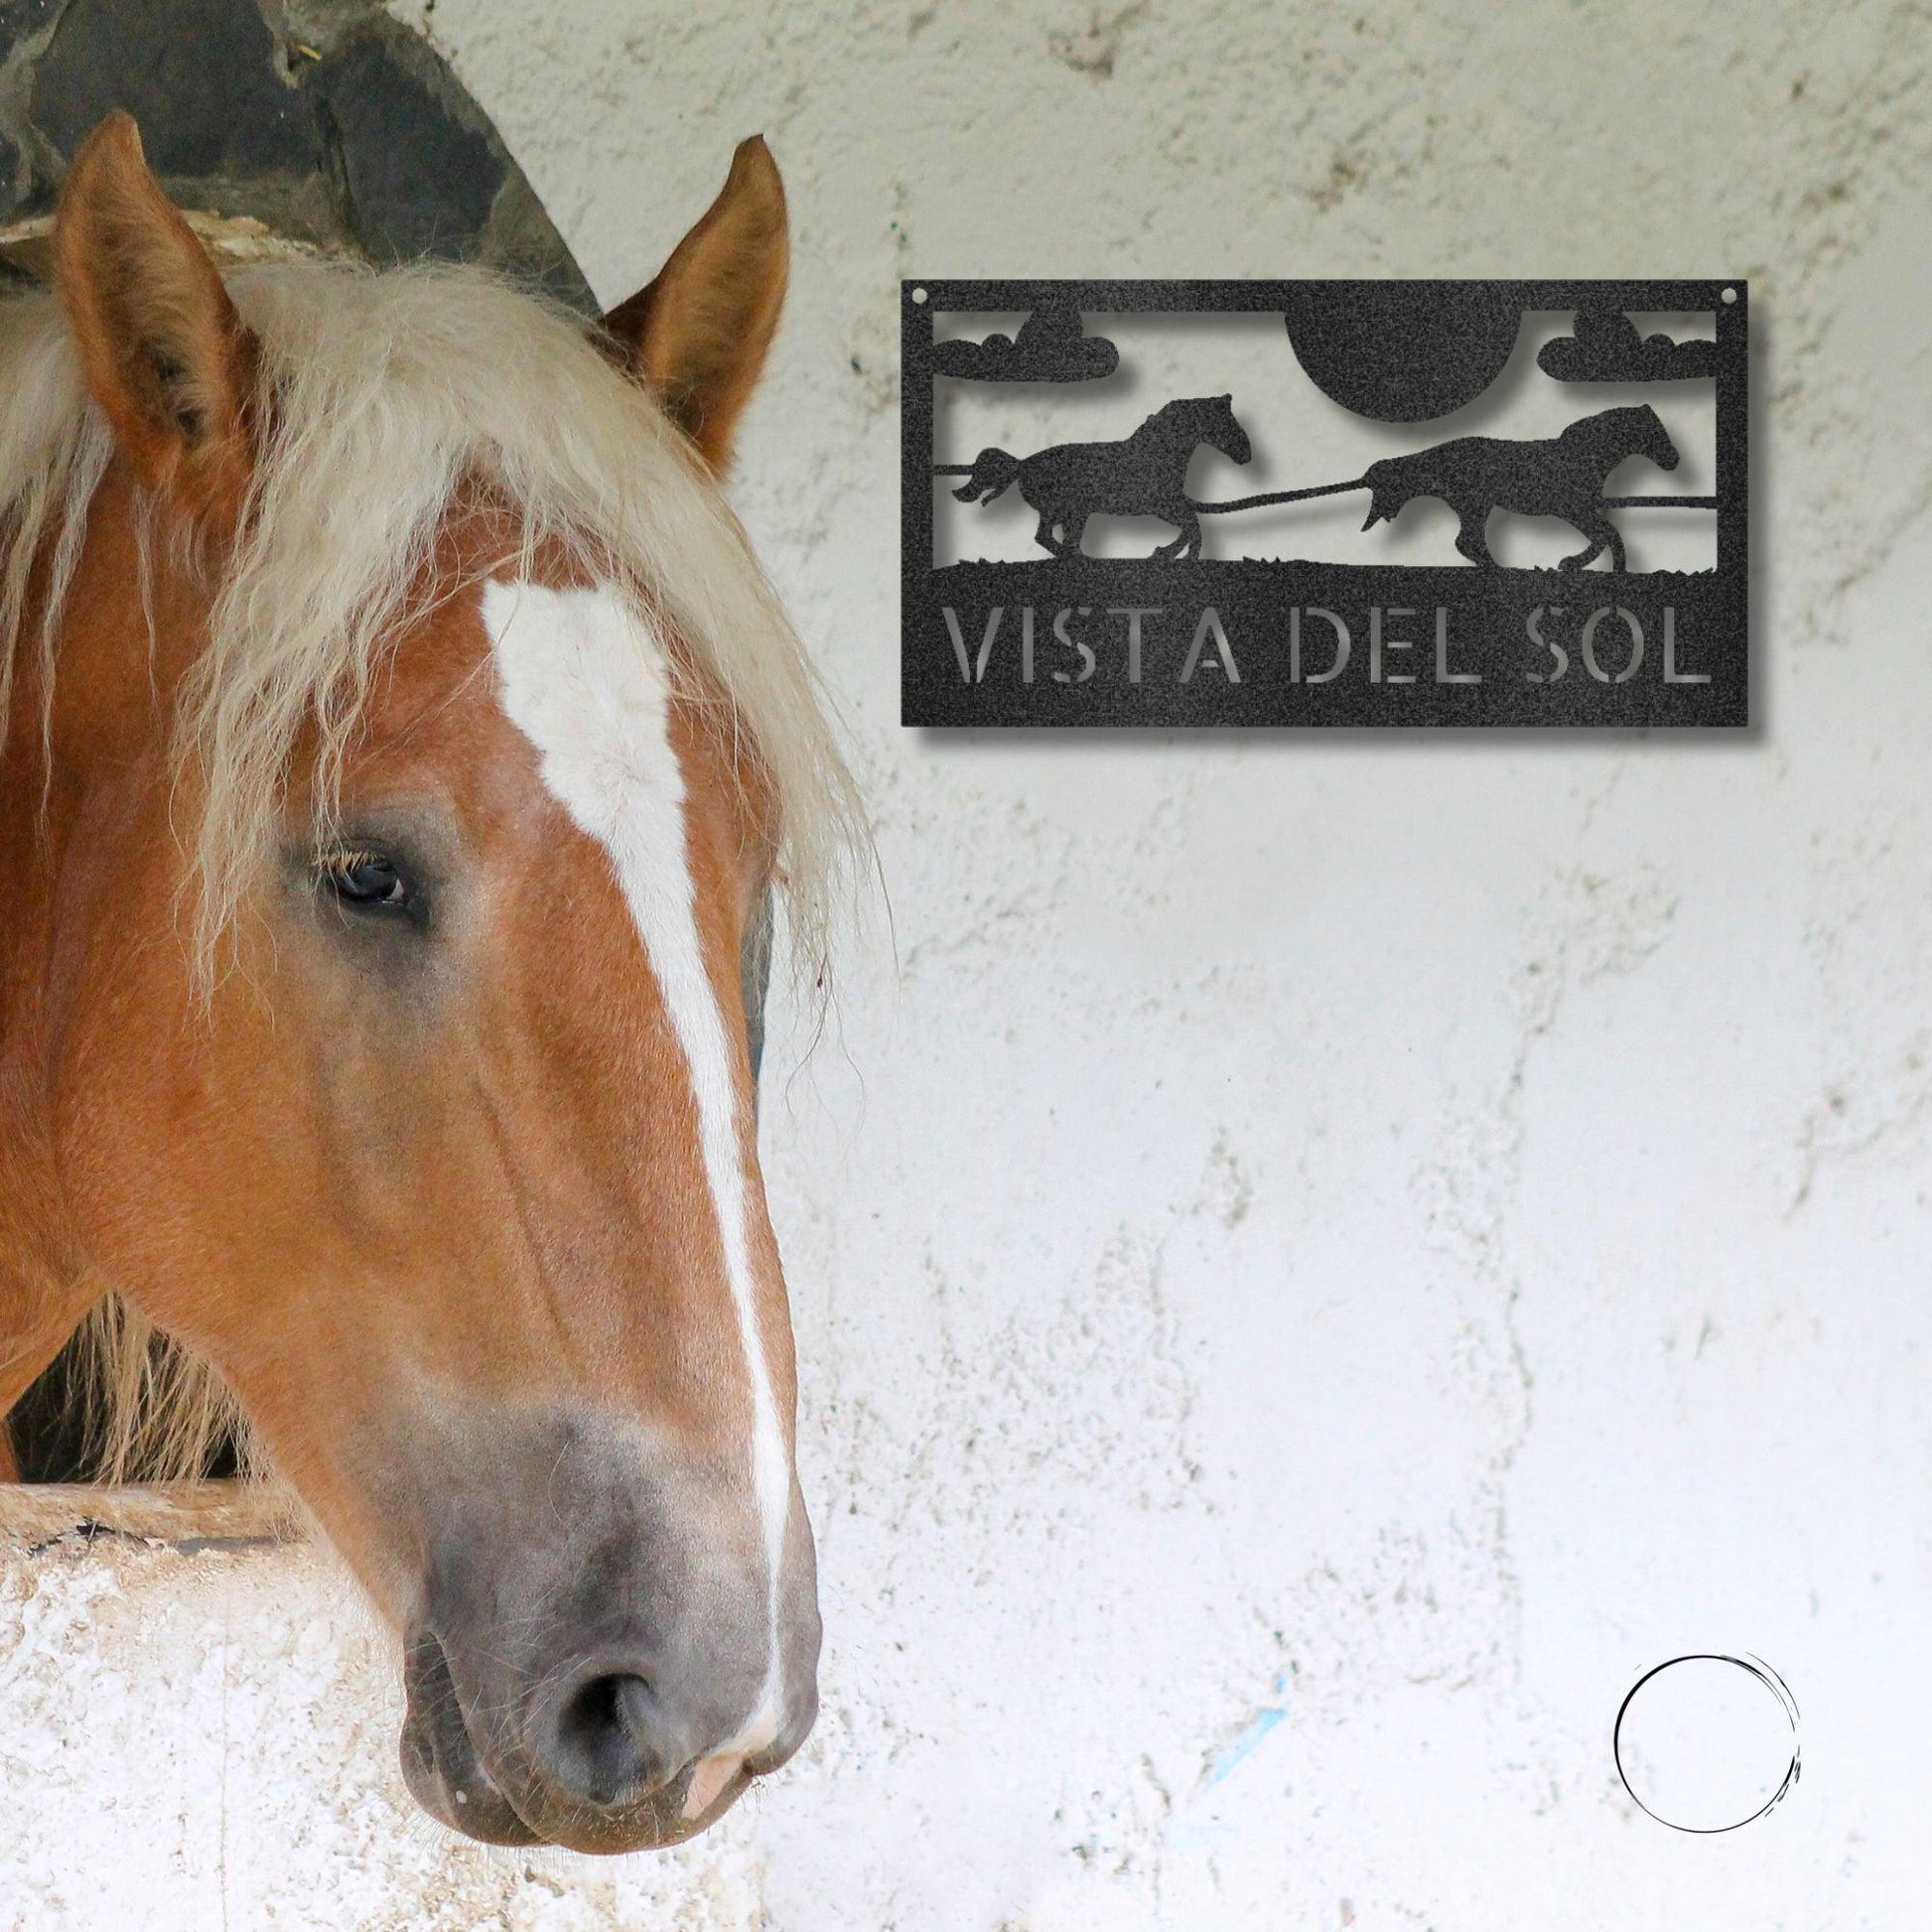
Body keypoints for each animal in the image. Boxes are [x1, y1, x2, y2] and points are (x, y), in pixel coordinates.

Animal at [951, 394, 1253, 560]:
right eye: (1228, 422)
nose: (1247, 454)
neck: (1158, 452)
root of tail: (1022, 464)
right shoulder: (1160, 506)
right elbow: (1193, 524)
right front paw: (1168, 554)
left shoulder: (1170, 505)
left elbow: (1193, 524)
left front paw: (1173, 555)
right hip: (1068, 512)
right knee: (1046, 538)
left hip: (1072, 515)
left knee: (1055, 539)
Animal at [1358, 402, 1681, 571]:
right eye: (1657, 432)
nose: (1675, 459)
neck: (1589, 453)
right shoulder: (1573, 511)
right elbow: (1606, 534)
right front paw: (1570, 563)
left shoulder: (1583, 511)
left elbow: (1610, 535)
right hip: (1476, 506)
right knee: (1467, 541)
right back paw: (1505, 569)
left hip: (1476, 507)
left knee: (1468, 542)